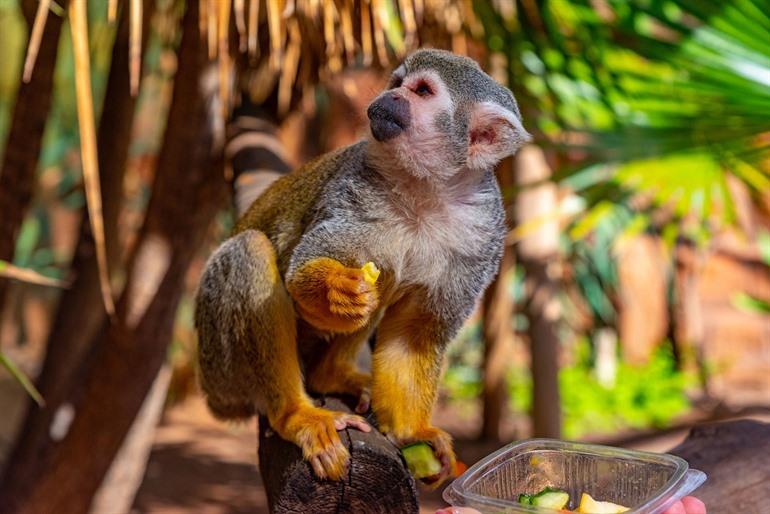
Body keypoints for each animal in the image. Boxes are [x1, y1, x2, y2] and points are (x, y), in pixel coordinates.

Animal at [195, 49, 530, 485]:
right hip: (220, 364)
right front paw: (336, 291)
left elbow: (414, 335)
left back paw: (330, 376)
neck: (426, 189)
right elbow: (302, 273)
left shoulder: (482, 233)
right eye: (397, 82)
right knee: (249, 251)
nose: (388, 97)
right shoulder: (354, 190)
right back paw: (294, 414)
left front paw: (411, 431)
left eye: (422, 91)